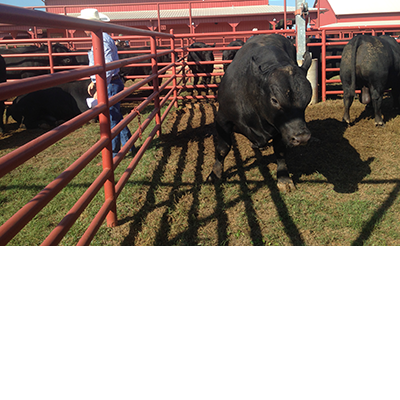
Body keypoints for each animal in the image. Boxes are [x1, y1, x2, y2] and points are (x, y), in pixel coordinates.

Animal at [209, 33, 312, 193]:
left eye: (308, 98)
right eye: (274, 100)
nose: (302, 138)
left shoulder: (281, 129)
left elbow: (280, 151)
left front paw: (284, 178)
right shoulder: (222, 119)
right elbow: (222, 149)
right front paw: (215, 174)